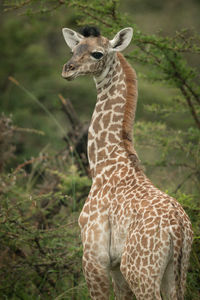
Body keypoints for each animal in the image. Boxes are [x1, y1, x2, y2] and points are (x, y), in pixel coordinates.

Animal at [61, 26, 192, 300]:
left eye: (97, 53)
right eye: (73, 49)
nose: (68, 69)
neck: (104, 164)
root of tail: (178, 230)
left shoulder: (94, 258)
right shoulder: (115, 268)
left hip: (140, 270)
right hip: (176, 273)